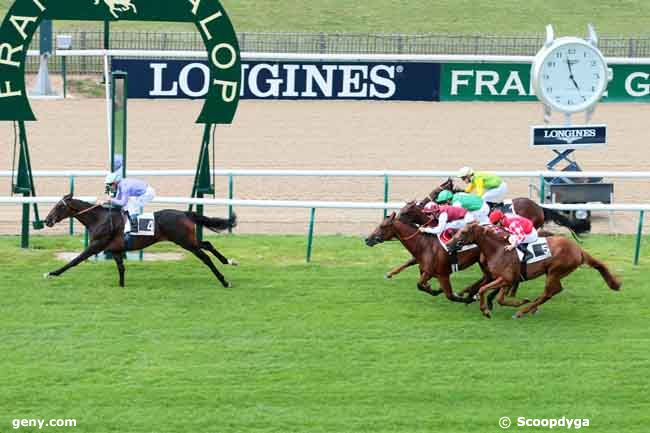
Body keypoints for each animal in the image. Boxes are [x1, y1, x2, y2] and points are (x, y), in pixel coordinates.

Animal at [44, 194, 239, 288]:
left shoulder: (96, 245)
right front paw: (121, 286)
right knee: (207, 244)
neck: (99, 219)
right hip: (188, 240)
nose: (47, 220)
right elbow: (121, 269)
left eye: (59, 206)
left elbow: (75, 260)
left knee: (205, 257)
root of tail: (185, 213)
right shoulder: (115, 250)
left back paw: (225, 281)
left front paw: (51, 273)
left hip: (185, 242)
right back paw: (229, 261)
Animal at [446, 223, 616, 318]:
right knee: (550, 292)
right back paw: (530, 307)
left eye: (463, 232)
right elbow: (500, 298)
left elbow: (482, 289)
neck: (498, 250)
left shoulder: (505, 279)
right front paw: (519, 302)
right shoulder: (507, 280)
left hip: (555, 272)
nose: (448, 245)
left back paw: (524, 311)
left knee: (551, 291)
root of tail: (579, 250)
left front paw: (485, 311)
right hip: (552, 272)